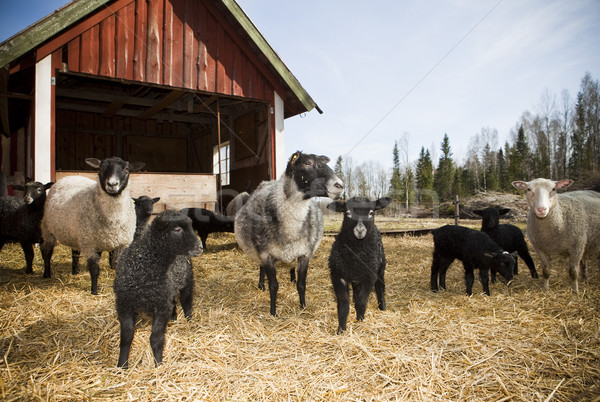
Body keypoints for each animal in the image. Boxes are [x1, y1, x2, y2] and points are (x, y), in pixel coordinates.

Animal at [41, 155, 145, 294]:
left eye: (127, 169)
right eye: (102, 167)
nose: (112, 184)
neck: (113, 219)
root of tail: (69, 177)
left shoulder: (122, 244)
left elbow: (118, 267)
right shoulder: (89, 244)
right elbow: (94, 269)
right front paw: (94, 292)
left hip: (76, 233)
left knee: (75, 252)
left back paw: (75, 271)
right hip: (48, 230)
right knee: (47, 251)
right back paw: (47, 274)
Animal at [113, 209, 203, 370]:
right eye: (177, 229)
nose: (200, 247)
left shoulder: (161, 306)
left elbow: (156, 338)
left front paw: (158, 365)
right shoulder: (124, 304)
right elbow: (126, 336)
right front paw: (122, 365)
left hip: (186, 281)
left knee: (186, 302)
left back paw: (189, 321)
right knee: (173, 302)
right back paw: (174, 317)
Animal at [234, 152, 342, 318]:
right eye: (307, 163)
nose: (340, 185)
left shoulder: (304, 254)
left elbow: (302, 285)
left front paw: (303, 307)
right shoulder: (266, 254)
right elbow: (273, 286)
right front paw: (273, 312)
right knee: (261, 268)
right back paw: (261, 285)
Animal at [326, 197, 392, 332]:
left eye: (371, 213)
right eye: (348, 213)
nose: (360, 231)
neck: (356, 253)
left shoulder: (369, 276)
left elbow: (361, 301)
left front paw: (360, 320)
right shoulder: (338, 276)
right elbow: (343, 304)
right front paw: (341, 329)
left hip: (380, 268)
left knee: (380, 287)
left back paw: (382, 308)